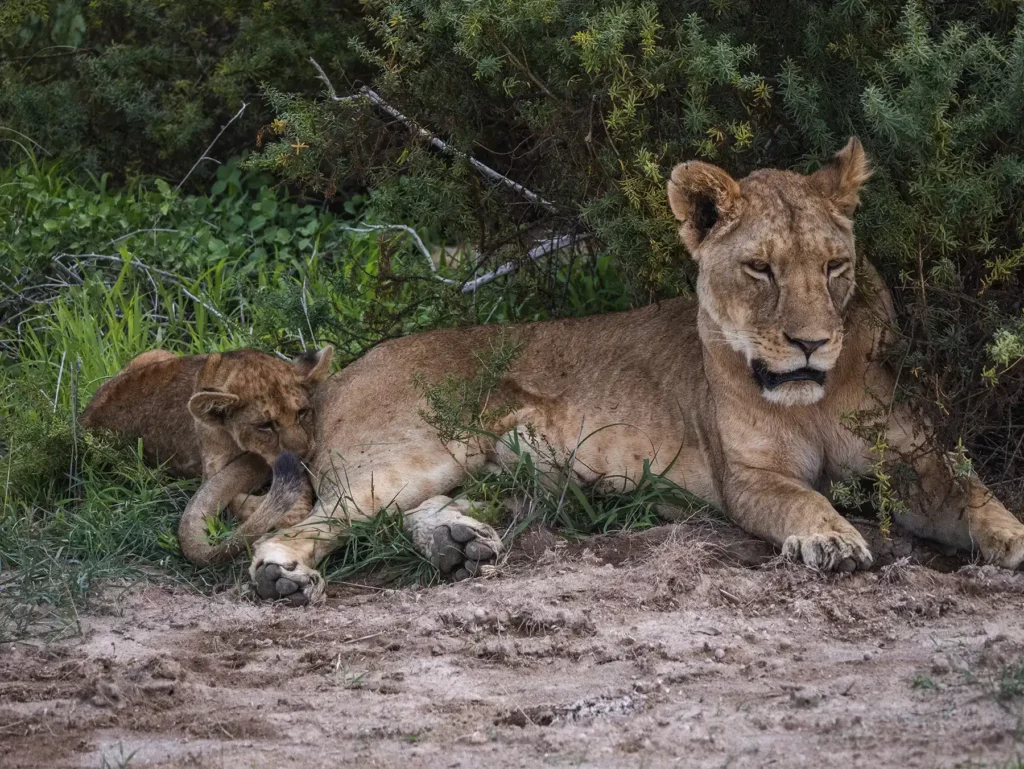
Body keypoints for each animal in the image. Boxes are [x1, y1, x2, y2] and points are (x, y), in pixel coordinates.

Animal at [81, 347, 332, 564]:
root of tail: (81, 419)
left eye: (302, 413)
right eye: (265, 426)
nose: (302, 454)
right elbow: (239, 502)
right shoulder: (212, 470)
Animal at [221, 137, 1024, 607]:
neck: (813, 399)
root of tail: (331, 377)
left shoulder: (913, 458)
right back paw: (280, 574)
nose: (810, 343)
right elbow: (804, 500)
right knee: (318, 520)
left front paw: (1012, 538)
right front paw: (830, 538)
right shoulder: (749, 479)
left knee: (402, 511)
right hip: (410, 450)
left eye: (834, 267)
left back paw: (458, 545)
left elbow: (973, 492)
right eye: (760, 268)